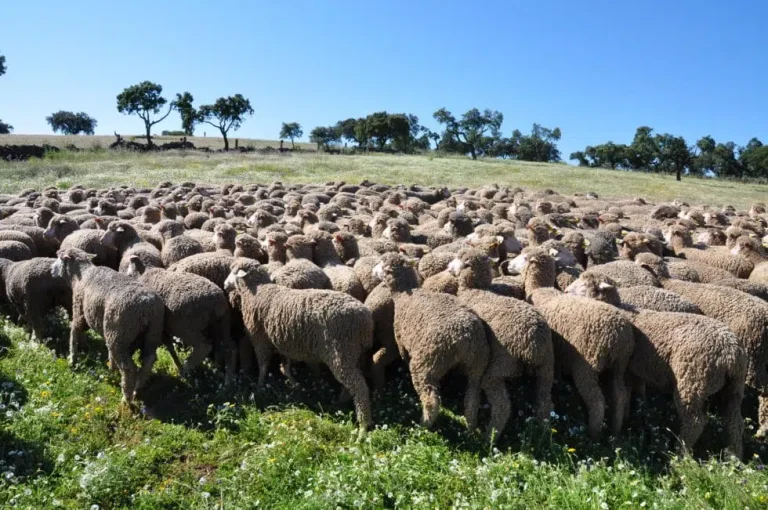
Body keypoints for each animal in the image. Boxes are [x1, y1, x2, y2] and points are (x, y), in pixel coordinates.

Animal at [52, 247, 165, 402]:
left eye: (59, 257)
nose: (51, 270)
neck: (81, 275)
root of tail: (146, 306)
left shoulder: (79, 311)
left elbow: (74, 333)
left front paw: (72, 359)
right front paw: (111, 366)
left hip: (120, 334)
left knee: (129, 369)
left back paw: (126, 398)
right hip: (150, 333)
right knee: (148, 361)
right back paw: (137, 388)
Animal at [126, 256, 236, 384]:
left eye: (128, 274)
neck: (144, 274)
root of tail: (216, 303)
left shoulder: (160, 327)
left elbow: (169, 346)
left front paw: (179, 367)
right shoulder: (164, 328)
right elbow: (170, 347)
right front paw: (177, 364)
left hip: (186, 328)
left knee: (204, 346)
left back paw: (186, 368)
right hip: (222, 324)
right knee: (229, 348)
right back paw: (228, 380)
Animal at [224, 258, 374, 430]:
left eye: (233, 272)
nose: (224, 284)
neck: (258, 290)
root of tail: (365, 320)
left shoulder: (260, 340)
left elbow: (263, 366)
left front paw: (260, 388)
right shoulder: (284, 341)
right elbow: (285, 366)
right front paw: (295, 384)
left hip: (341, 352)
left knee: (359, 386)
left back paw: (363, 424)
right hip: (356, 352)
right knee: (354, 380)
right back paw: (342, 400)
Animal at [372, 254, 486, 430]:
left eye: (383, 266)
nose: (372, 271)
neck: (403, 295)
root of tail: (465, 338)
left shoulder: (400, 336)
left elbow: (403, 353)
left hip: (427, 362)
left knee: (431, 399)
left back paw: (424, 424)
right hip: (477, 366)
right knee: (472, 398)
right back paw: (471, 425)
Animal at [450, 249, 552, 436]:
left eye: (459, 258)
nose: (448, 267)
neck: (474, 290)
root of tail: (533, 345)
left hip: (500, 365)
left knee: (502, 405)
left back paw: (490, 436)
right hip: (547, 368)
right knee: (544, 402)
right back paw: (544, 434)